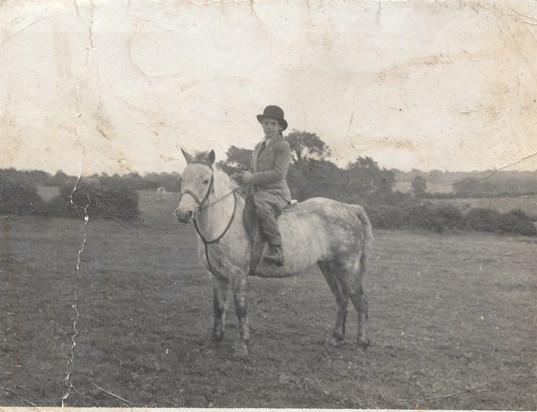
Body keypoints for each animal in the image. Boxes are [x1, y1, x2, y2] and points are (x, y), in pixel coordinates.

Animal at [175, 150, 372, 356]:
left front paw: (242, 345)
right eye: (181, 178)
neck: (223, 221)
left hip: (347, 267)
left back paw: (361, 342)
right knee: (342, 299)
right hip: (328, 267)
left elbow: (240, 309)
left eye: (205, 181)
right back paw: (335, 338)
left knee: (360, 300)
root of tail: (350, 209)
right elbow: (218, 307)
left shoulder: (238, 275)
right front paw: (214, 340)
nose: (183, 214)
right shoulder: (216, 276)